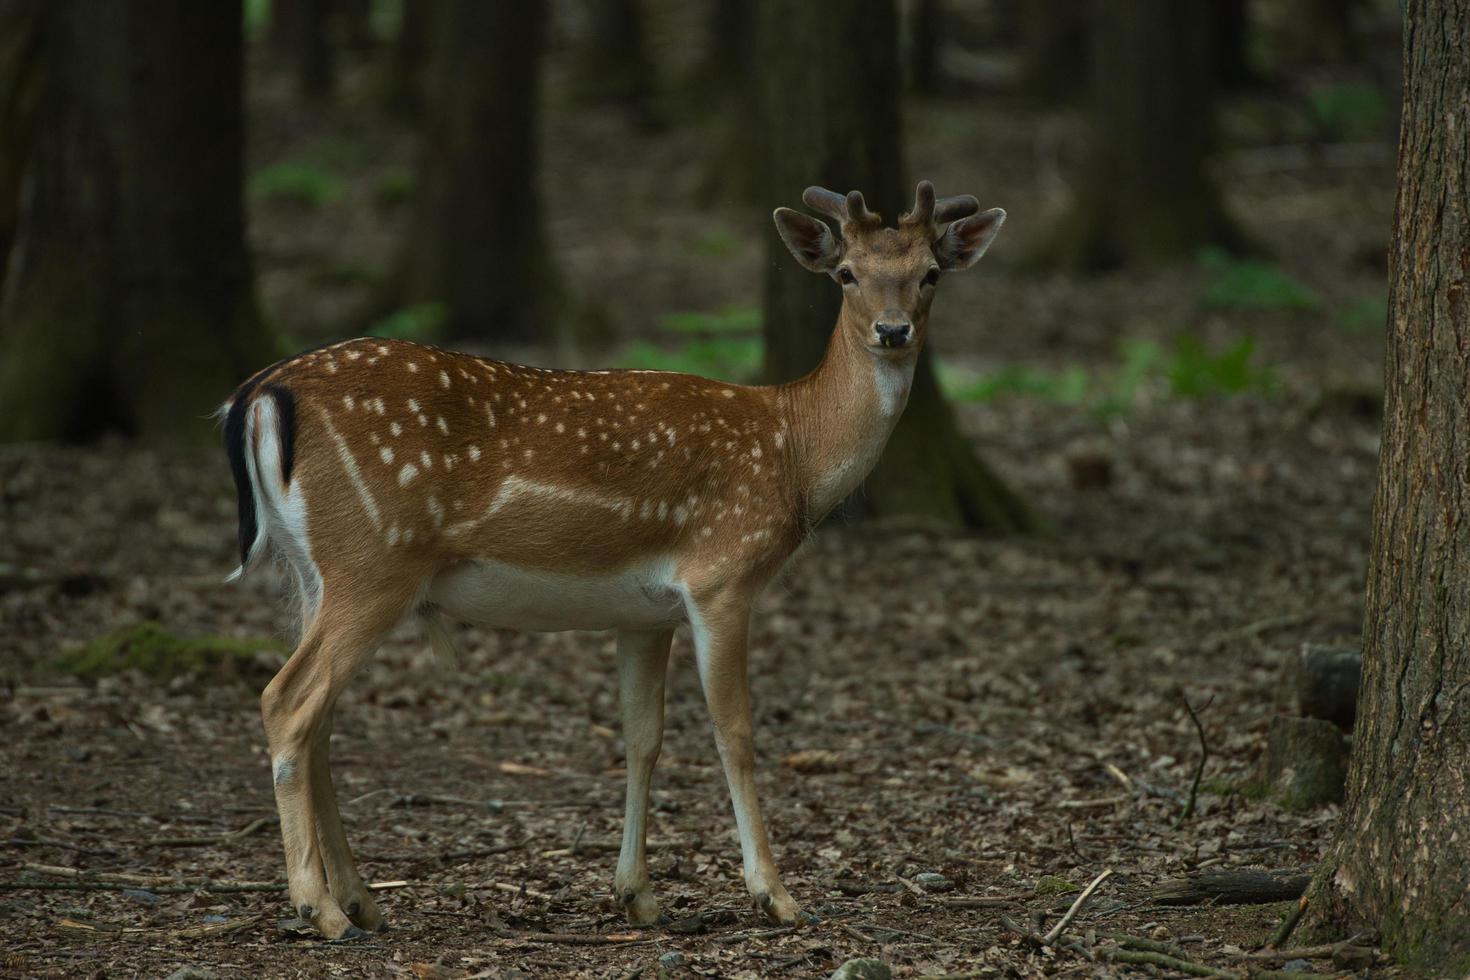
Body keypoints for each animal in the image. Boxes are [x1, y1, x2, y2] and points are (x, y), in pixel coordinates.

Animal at [220, 179, 999, 940]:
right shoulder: (722, 574)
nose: (892, 331)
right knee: (287, 701)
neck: (794, 453)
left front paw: (638, 896)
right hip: (373, 561)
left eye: (929, 273)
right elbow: (735, 732)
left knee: (317, 718)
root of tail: (258, 395)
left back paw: (361, 901)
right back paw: (317, 907)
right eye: (847, 274)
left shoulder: (645, 613)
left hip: (314, 572)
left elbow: (642, 737)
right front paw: (776, 896)